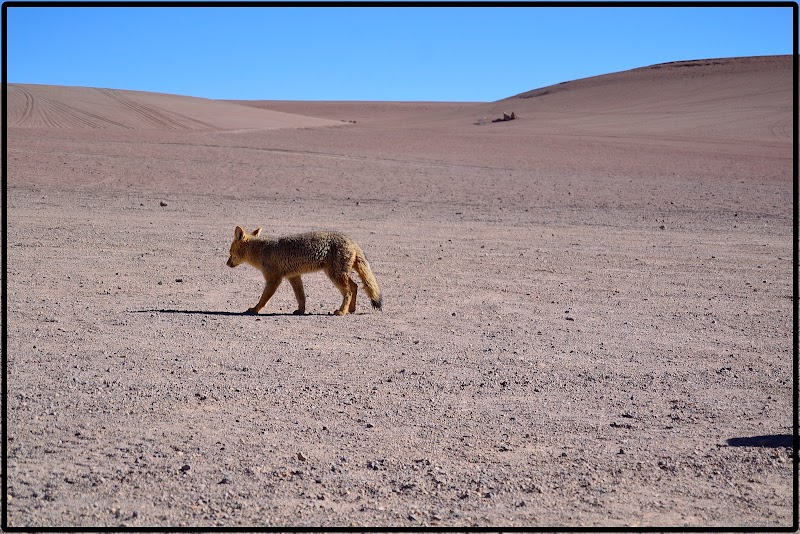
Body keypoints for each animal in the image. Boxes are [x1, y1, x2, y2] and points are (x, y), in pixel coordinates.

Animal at [225, 226, 384, 318]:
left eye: (230, 252)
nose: (226, 264)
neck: (261, 250)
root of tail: (351, 240)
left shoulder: (273, 279)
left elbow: (264, 299)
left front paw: (255, 309)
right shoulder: (294, 276)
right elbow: (300, 296)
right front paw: (301, 310)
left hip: (335, 275)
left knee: (349, 291)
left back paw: (341, 312)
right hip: (339, 274)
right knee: (355, 286)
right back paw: (351, 309)